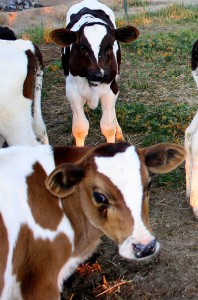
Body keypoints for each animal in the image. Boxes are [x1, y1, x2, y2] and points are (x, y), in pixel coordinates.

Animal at [49, 0, 139, 146]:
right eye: (82, 47)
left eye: (109, 47)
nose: (98, 75)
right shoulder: (72, 92)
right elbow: (80, 128)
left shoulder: (111, 88)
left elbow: (108, 127)